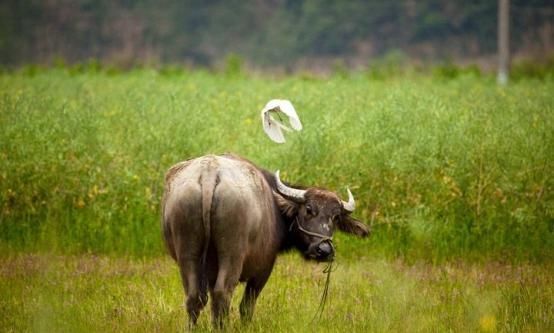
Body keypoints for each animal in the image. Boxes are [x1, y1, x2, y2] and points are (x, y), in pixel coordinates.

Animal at [162, 153, 368, 326]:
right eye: (308, 209)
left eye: (336, 217)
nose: (324, 250)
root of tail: (209, 174)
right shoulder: (263, 269)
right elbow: (246, 307)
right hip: (232, 254)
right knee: (223, 294)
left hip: (188, 253)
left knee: (194, 298)